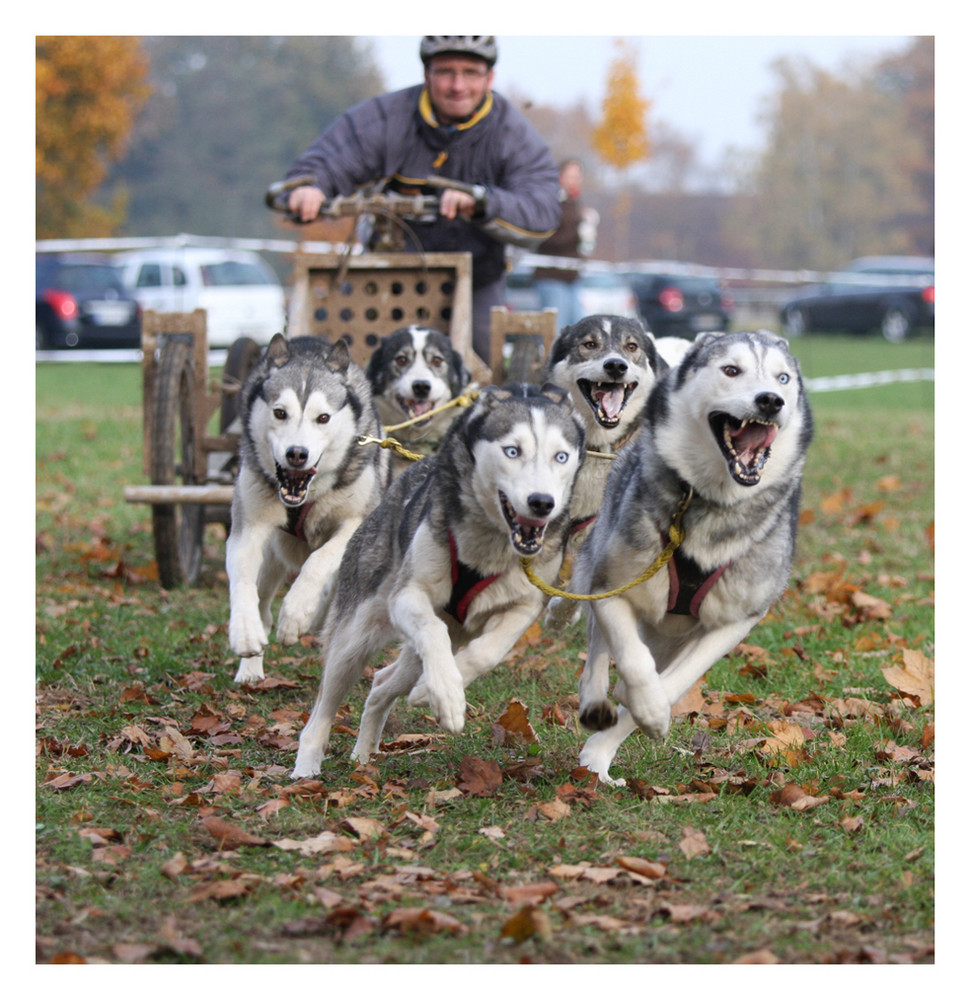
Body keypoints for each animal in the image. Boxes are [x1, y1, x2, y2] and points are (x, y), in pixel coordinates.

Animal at [228, 332, 392, 684]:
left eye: (323, 418)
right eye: (280, 413)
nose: (296, 454)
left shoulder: (355, 522)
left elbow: (318, 562)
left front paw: (295, 614)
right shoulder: (248, 528)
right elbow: (243, 580)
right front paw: (244, 633)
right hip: (273, 555)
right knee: (263, 601)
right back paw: (251, 667)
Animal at [292, 380, 584, 772]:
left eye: (561, 457)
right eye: (512, 451)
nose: (542, 503)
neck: (490, 549)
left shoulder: (524, 606)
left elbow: (487, 653)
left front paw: (437, 689)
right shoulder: (408, 596)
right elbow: (432, 629)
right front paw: (446, 693)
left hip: (415, 656)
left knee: (383, 682)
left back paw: (365, 753)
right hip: (354, 639)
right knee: (325, 704)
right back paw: (306, 766)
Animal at [572, 332, 816, 784]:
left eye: (783, 378)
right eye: (731, 370)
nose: (770, 400)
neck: (713, 502)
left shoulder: (737, 619)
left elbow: (672, 683)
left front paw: (639, 720)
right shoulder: (615, 585)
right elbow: (630, 658)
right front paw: (640, 711)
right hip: (599, 565)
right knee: (598, 648)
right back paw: (595, 699)